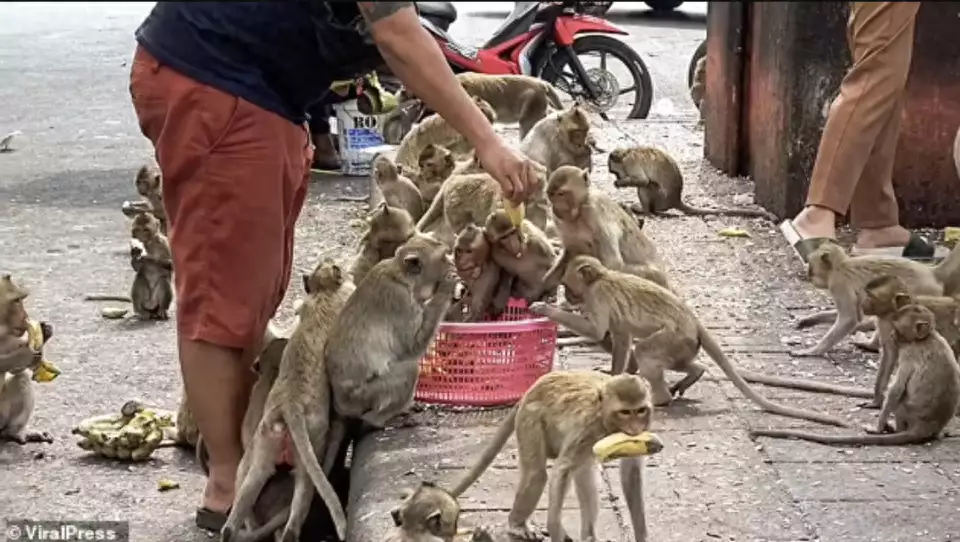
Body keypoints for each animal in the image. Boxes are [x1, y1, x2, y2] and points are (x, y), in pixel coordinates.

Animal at [448, 372, 652, 542]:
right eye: (625, 412)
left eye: (641, 410)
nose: (635, 428)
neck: (604, 416)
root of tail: (529, 391)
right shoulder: (588, 426)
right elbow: (563, 467)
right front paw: (555, 527)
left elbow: (631, 473)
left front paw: (641, 535)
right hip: (530, 420)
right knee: (536, 474)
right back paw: (516, 524)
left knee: (584, 475)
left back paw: (589, 536)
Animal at [532, 258, 856, 432]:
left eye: (569, 285)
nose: (568, 296)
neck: (601, 276)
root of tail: (694, 320)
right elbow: (621, 339)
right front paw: (616, 375)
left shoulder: (598, 297)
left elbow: (598, 330)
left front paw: (546, 310)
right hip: (685, 344)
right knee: (670, 358)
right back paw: (694, 373)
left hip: (675, 338)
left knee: (647, 350)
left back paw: (662, 400)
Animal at [752, 302, 960, 446]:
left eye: (897, 328)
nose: (892, 335)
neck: (926, 338)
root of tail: (927, 427)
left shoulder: (909, 353)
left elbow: (897, 389)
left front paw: (878, 425)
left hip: (906, 411)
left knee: (899, 398)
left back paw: (892, 429)